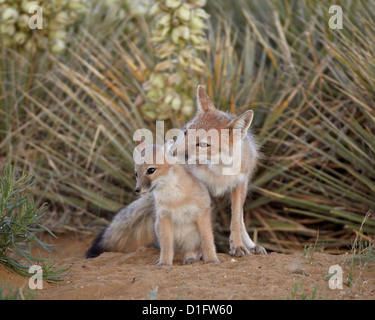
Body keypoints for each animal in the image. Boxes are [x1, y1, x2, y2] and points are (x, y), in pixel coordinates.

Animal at [86, 86, 266, 258]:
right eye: (186, 132)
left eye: (202, 144)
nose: (171, 151)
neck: (218, 171)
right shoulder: (200, 188)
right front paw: (200, 250)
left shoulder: (239, 185)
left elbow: (236, 220)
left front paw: (238, 245)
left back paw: (251, 245)